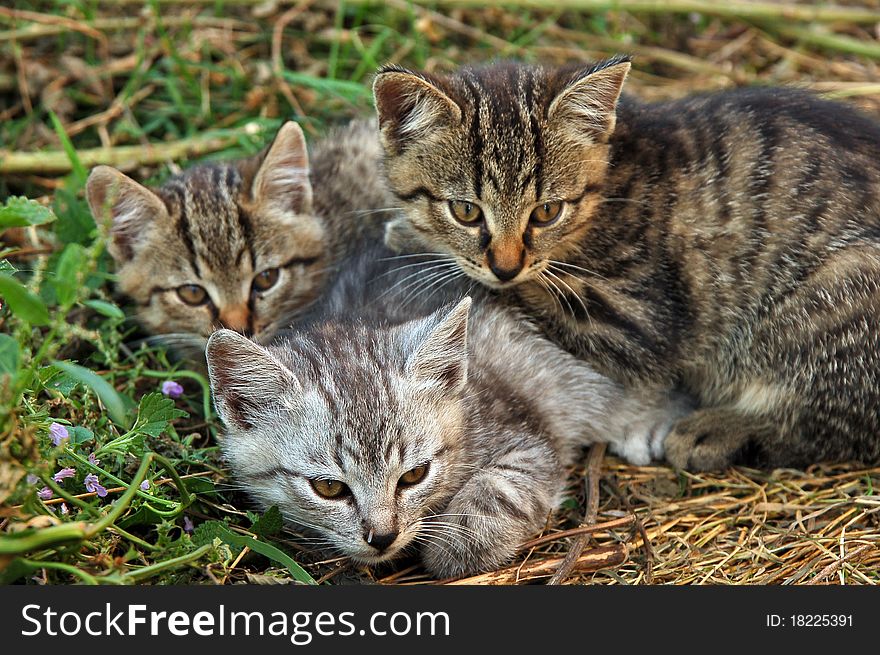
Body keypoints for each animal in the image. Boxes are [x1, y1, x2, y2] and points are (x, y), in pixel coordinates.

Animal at [206, 246, 688, 580]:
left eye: (414, 476)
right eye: (329, 488)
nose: (382, 536)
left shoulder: (530, 438)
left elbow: (500, 492)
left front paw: (453, 544)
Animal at [372, 60, 880, 472]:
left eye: (546, 212)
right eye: (466, 211)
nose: (505, 265)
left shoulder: (639, 322)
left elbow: (528, 290)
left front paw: (412, 238)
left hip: (834, 291)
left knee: (832, 427)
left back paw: (722, 430)